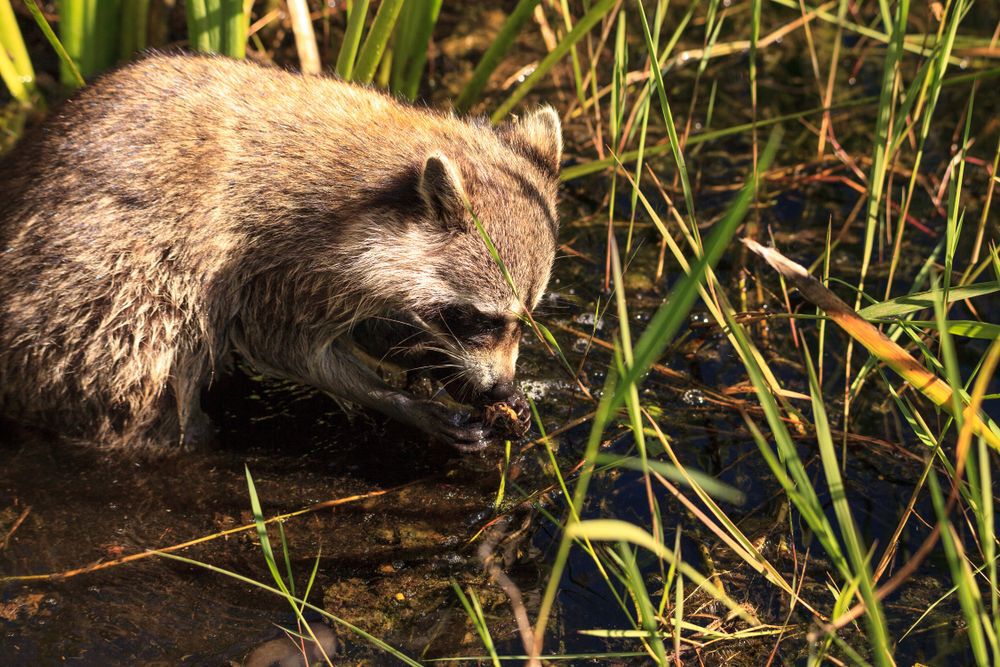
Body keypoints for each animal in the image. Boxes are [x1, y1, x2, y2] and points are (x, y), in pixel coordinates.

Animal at [0, 53, 560, 452]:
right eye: (476, 319)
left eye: (525, 320)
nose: (498, 388)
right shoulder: (279, 256)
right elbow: (284, 345)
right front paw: (401, 402)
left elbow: (378, 323)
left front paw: (443, 367)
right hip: (92, 296)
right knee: (144, 350)